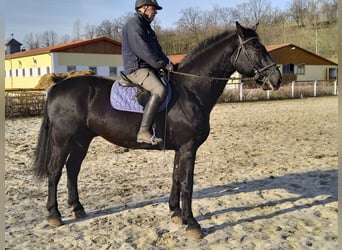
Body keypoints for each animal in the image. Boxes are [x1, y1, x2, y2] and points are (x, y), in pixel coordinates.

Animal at [34, 22, 280, 239]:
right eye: (256, 48)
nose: (276, 79)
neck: (190, 90)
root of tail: (55, 88)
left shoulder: (181, 148)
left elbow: (176, 177)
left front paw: (176, 213)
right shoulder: (189, 147)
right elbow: (187, 183)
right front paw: (192, 224)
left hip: (81, 140)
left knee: (72, 169)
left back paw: (77, 208)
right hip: (63, 140)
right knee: (55, 171)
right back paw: (54, 214)